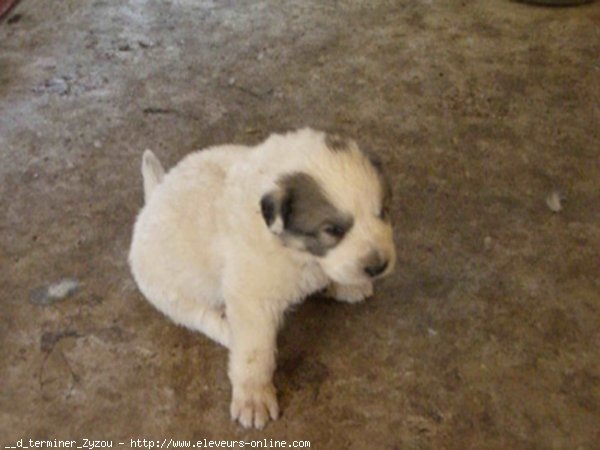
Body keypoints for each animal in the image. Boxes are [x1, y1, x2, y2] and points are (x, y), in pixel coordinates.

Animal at [129, 127, 396, 428]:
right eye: (333, 230)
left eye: (383, 212)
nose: (379, 266)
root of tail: (152, 197)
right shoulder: (252, 298)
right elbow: (254, 352)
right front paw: (254, 397)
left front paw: (346, 284)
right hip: (168, 291)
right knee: (200, 316)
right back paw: (226, 329)